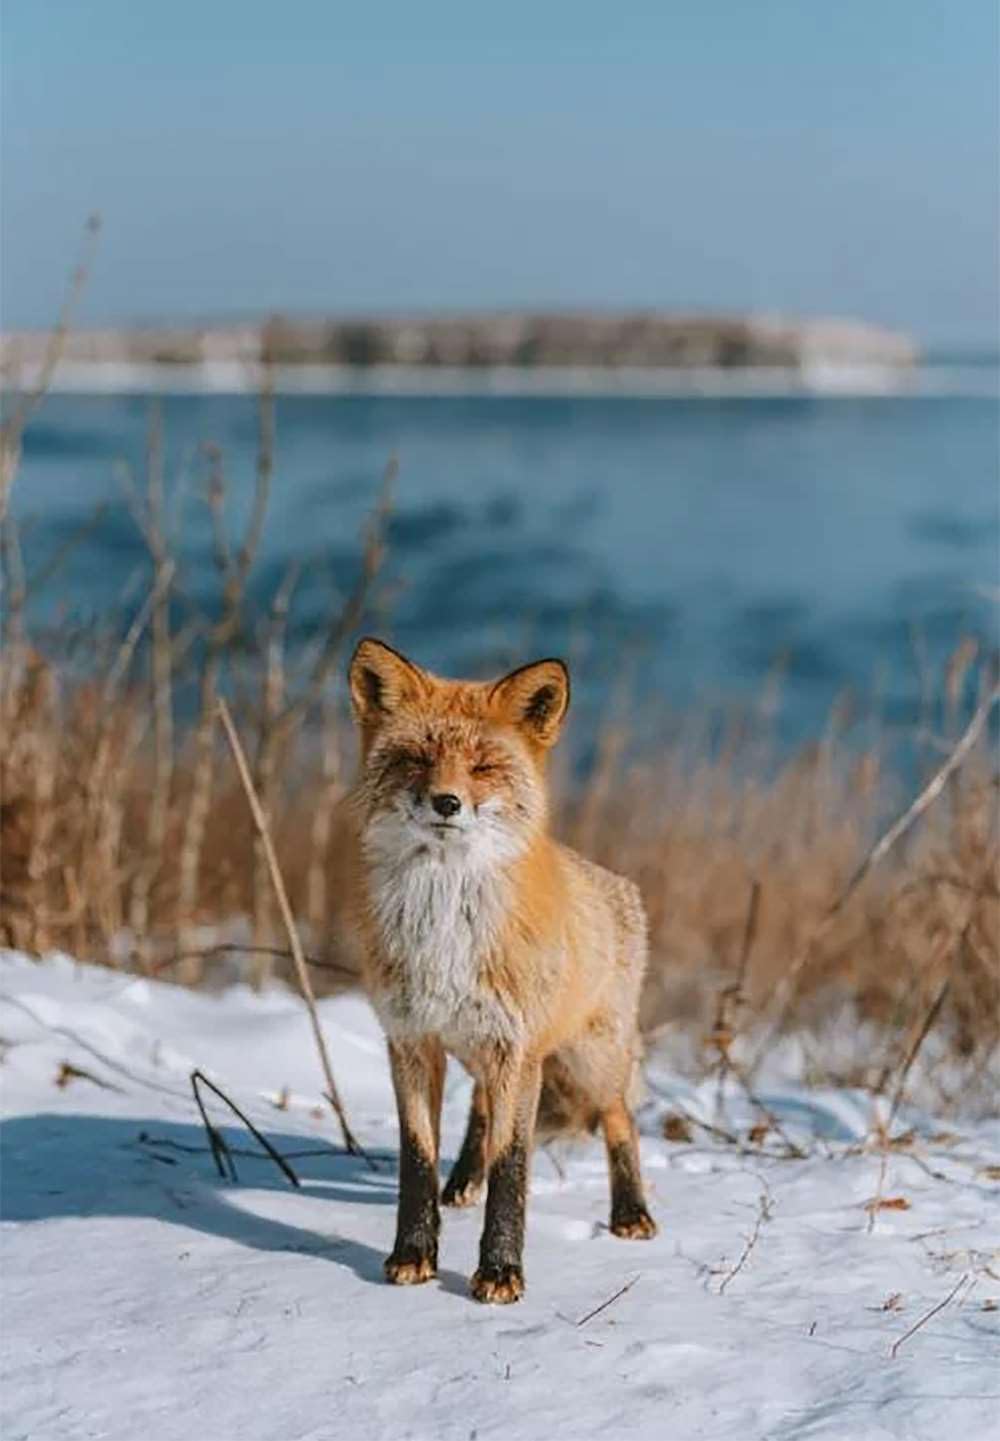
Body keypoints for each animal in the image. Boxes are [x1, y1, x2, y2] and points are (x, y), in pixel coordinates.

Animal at [335, 637, 656, 1305]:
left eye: (483, 765)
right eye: (417, 757)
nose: (447, 802)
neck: (443, 928)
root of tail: (620, 885)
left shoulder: (517, 1050)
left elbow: (513, 1165)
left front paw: (500, 1273)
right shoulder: (412, 1041)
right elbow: (416, 1158)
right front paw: (412, 1257)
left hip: (589, 1061)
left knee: (621, 1120)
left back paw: (631, 1213)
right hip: (482, 1050)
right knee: (481, 1108)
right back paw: (463, 1182)